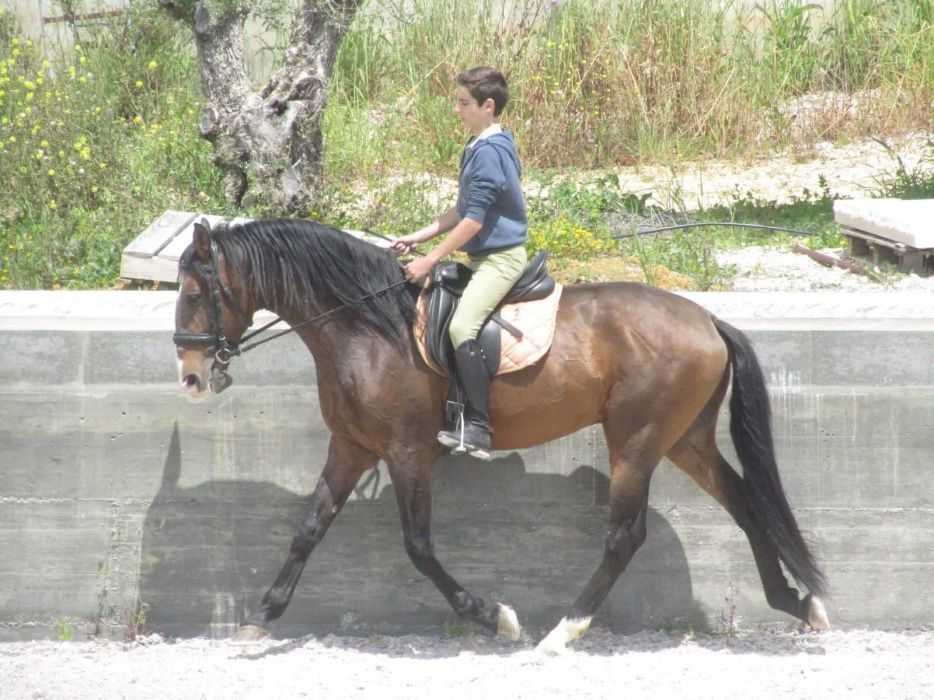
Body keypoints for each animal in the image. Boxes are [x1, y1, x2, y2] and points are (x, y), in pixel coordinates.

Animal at [174, 217, 828, 652]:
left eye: (194, 292)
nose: (191, 377)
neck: (367, 327)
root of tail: (708, 319)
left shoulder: (407, 452)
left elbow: (418, 546)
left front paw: (495, 616)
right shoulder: (351, 447)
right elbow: (308, 528)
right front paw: (262, 615)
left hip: (637, 440)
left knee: (625, 535)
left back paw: (563, 631)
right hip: (684, 438)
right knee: (746, 503)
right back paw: (796, 601)